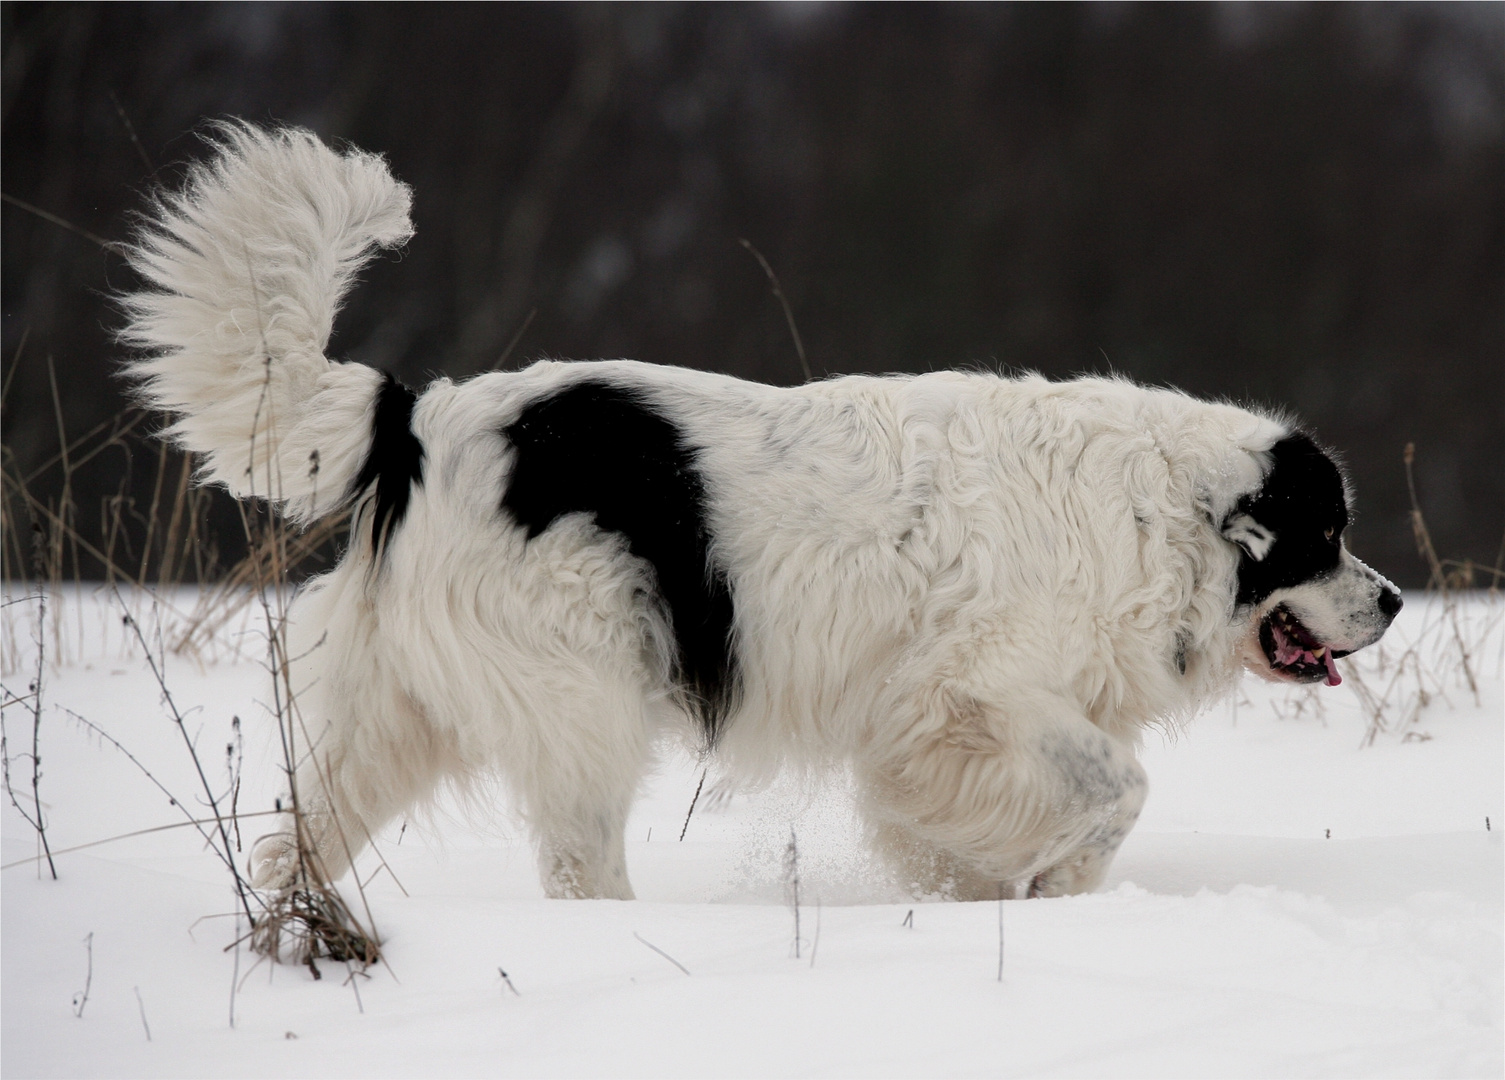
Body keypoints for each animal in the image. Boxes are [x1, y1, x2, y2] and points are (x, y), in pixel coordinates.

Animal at [117, 124, 1396, 902]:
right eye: (1324, 534)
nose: (1387, 599)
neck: (1162, 518)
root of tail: (420, 417)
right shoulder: (965, 699)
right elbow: (1113, 790)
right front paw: (1044, 882)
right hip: (581, 695)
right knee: (577, 858)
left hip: (391, 713)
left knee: (305, 833)